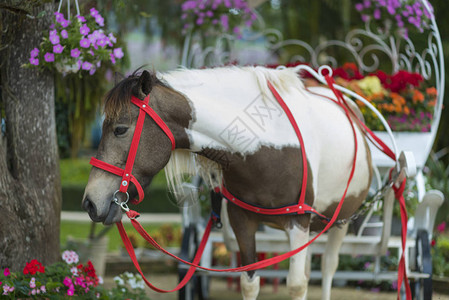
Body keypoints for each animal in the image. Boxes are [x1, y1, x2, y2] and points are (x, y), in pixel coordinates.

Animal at [83, 66, 372, 300]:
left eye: (120, 129)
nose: (89, 202)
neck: (266, 145)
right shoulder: (242, 220)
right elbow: (250, 283)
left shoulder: (298, 222)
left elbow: (297, 285)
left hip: (338, 222)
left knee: (328, 267)